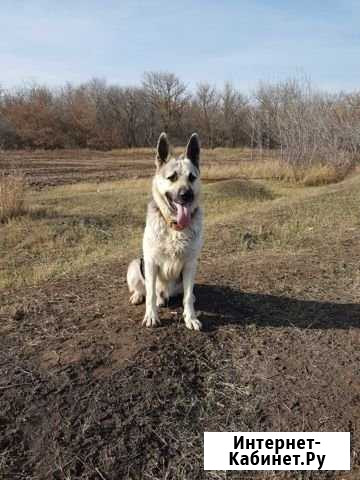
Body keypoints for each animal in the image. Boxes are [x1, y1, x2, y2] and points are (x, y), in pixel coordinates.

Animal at [127, 133, 204, 332]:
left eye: (192, 177)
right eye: (172, 177)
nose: (187, 195)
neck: (174, 227)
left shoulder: (190, 265)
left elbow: (187, 297)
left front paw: (190, 317)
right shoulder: (151, 263)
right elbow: (151, 295)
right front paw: (151, 316)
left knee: (186, 293)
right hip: (135, 266)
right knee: (146, 290)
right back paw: (139, 296)